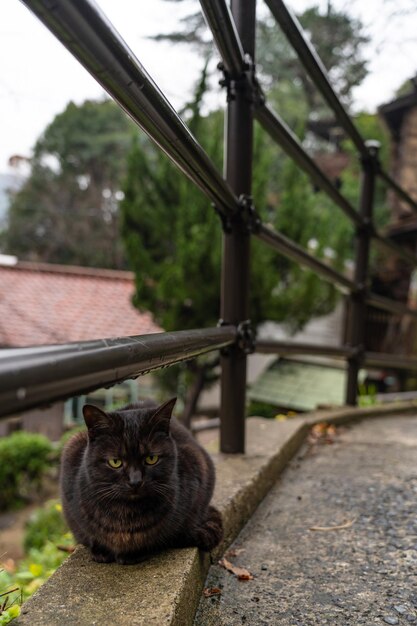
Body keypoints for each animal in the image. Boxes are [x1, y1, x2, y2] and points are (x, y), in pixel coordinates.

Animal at [60, 398, 223, 564]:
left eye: (151, 459)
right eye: (115, 462)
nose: (135, 481)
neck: (126, 514)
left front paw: (133, 553)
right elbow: (90, 533)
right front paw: (101, 551)